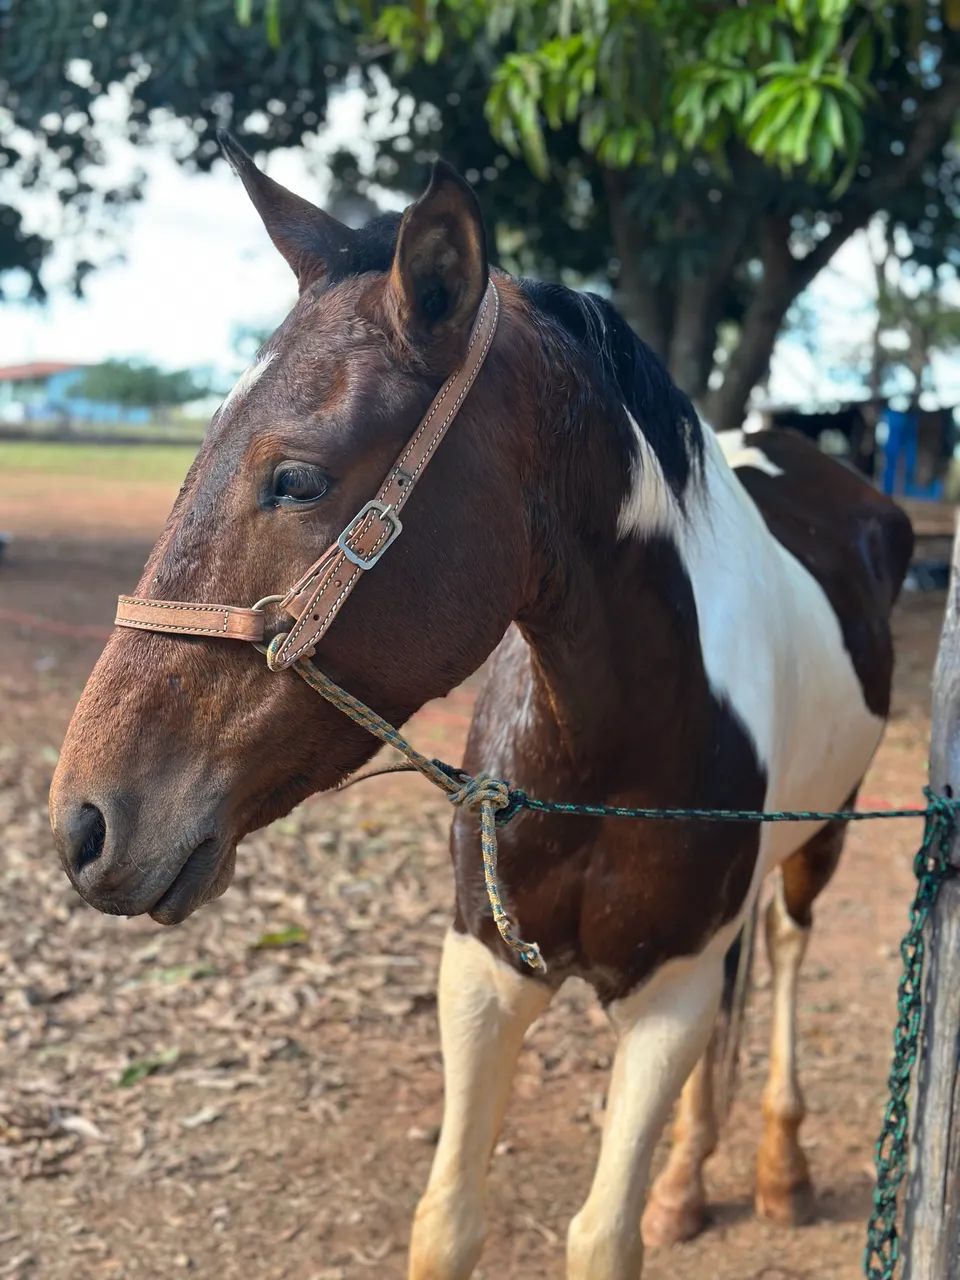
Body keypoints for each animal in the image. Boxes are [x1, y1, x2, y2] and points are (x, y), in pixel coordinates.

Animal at [50, 138, 913, 1280]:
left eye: (296, 477)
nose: (83, 822)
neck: (605, 755)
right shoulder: (480, 969)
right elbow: (448, 1221)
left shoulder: (667, 999)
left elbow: (601, 1235)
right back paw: (689, 1177)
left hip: (824, 836)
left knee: (780, 950)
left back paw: (778, 1162)